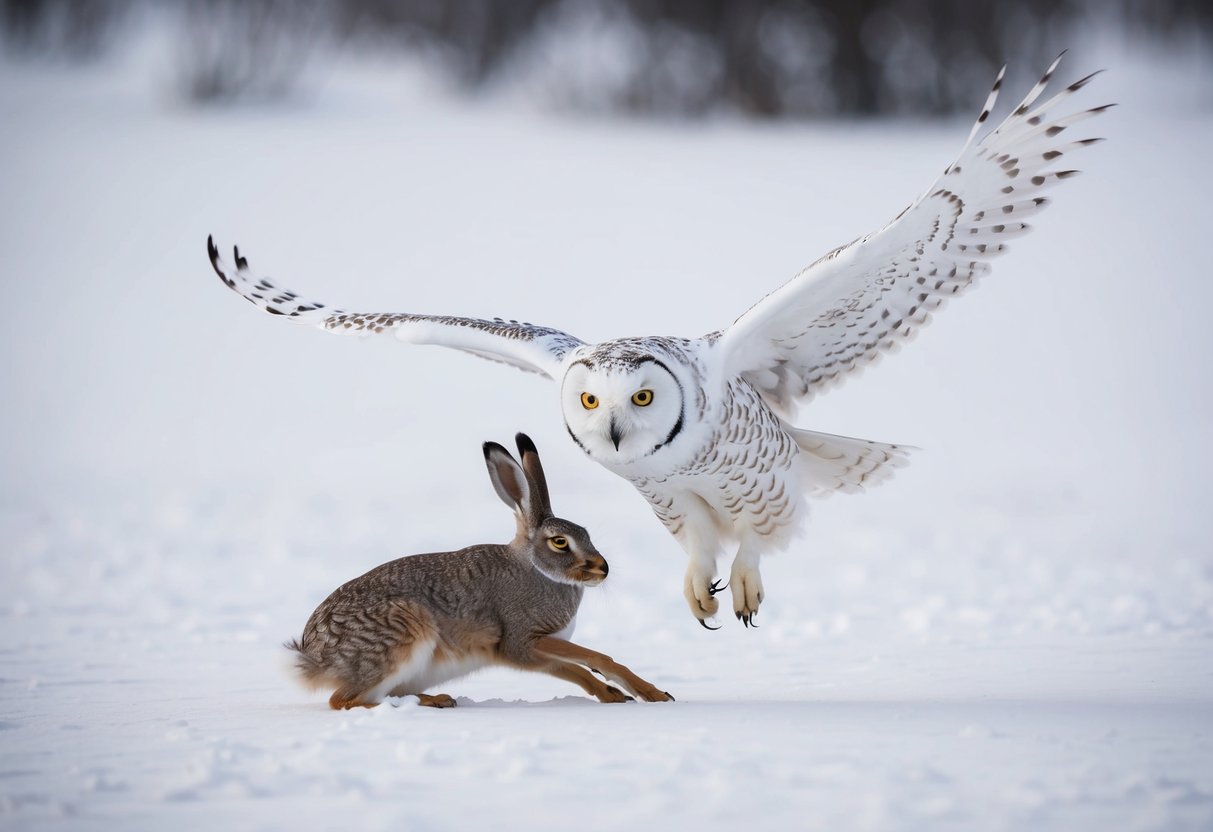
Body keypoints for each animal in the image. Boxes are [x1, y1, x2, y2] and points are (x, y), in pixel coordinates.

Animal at [287, 433, 673, 709]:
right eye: (560, 542)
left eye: (587, 533)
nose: (602, 569)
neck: (536, 569)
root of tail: (313, 656)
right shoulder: (521, 641)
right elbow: (592, 658)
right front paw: (650, 693)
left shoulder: (536, 652)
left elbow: (573, 668)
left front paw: (615, 694)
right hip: (402, 635)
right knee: (344, 700)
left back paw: (436, 700)